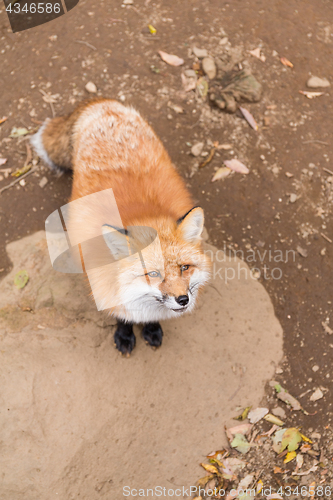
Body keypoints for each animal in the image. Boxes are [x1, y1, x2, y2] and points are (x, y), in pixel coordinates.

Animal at [29, 97, 209, 356]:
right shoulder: (103, 283)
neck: (142, 214)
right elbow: (122, 314)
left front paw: (152, 328)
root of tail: (102, 103)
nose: (183, 300)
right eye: (153, 274)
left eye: (185, 267)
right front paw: (124, 335)